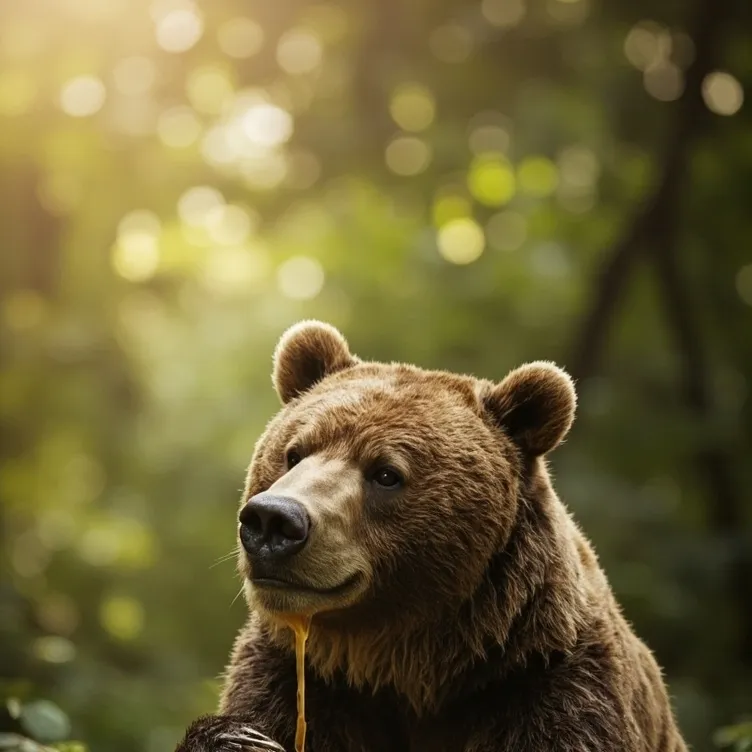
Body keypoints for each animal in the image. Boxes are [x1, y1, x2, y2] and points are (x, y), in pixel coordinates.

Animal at [177, 320, 688, 752]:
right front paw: (235, 739)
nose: (273, 521)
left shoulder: (551, 683)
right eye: (293, 453)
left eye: (386, 473)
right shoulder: (296, 679)